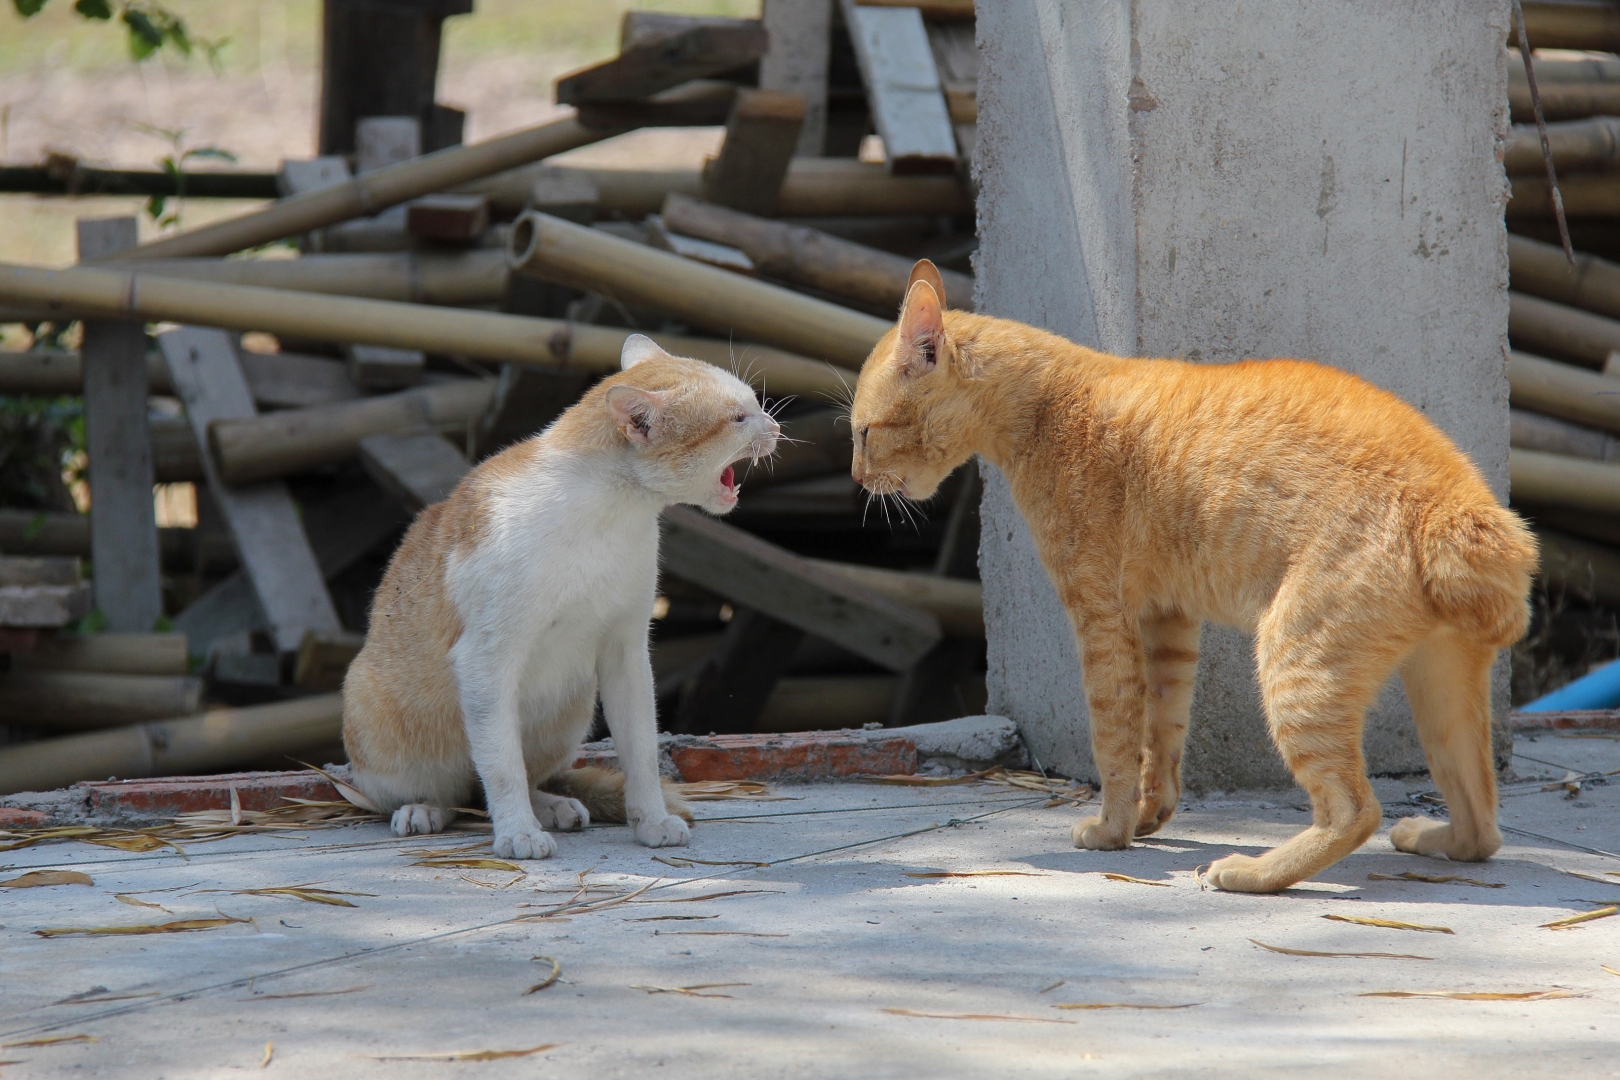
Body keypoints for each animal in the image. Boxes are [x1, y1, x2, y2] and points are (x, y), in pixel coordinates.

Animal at [340, 335, 777, 861]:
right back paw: (426, 809)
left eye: (754, 404)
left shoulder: (627, 653)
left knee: (502, 784)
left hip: (573, 708)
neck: (609, 512)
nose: (776, 426)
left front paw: (650, 820)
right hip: (377, 710)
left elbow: (640, 752)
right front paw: (516, 832)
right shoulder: (486, 659)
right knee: (453, 791)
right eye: (738, 418)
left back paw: (550, 806)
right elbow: (501, 765)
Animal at [855, 262, 1535, 893]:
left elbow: (1114, 735)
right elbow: (1161, 729)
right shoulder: (1169, 618)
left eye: (863, 432)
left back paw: (1251, 871)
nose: (859, 480)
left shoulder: (1101, 615)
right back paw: (1432, 837)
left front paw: (1111, 829)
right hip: (1439, 690)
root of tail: (1463, 508)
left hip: (1296, 662)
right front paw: (1148, 816)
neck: (1048, 404)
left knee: (1355, 811)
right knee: (1483, 825)